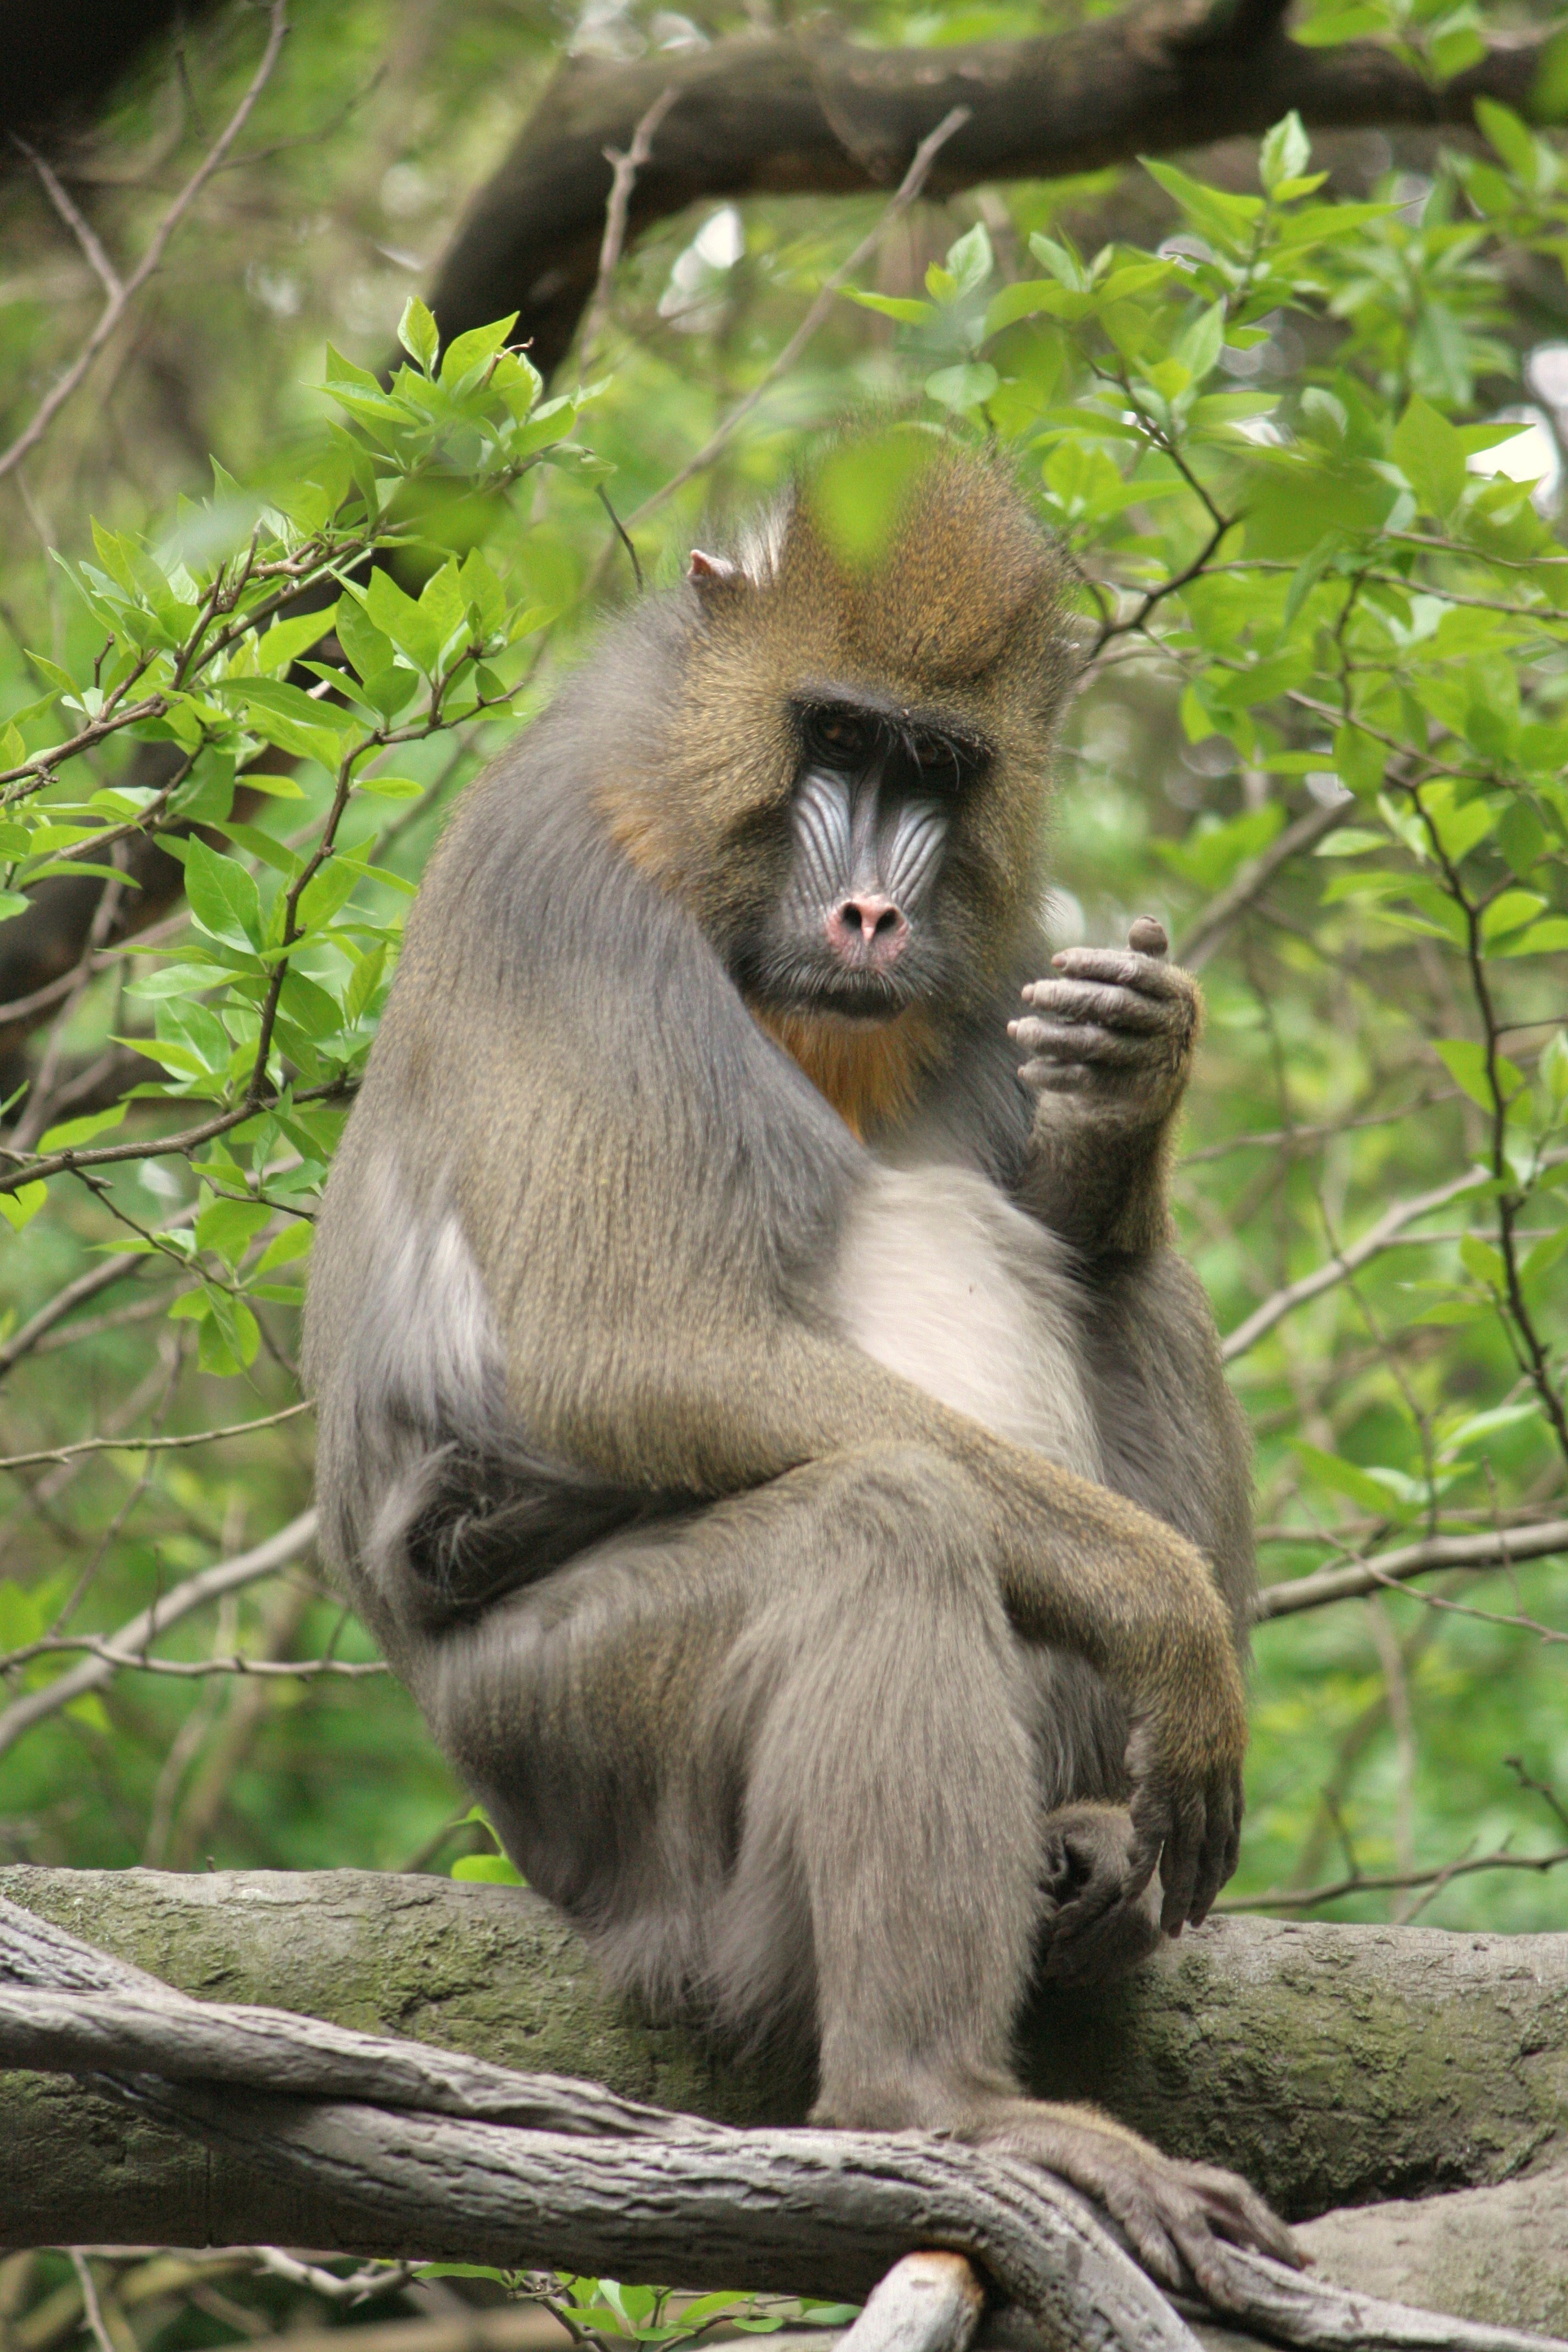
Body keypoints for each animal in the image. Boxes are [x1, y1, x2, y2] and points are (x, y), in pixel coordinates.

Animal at [304, 440, 1298, 2304]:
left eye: (935, 767)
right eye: (834, 739)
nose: (871, 909)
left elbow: (1073, 1212)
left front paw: (1132, 1075)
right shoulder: (574, 914)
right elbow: (640, 1352)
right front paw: (1172, 1615)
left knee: (1129, 1282)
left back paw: (1095, 1846)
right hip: (585, 1756)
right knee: (882, 1518)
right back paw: (939, 2103)